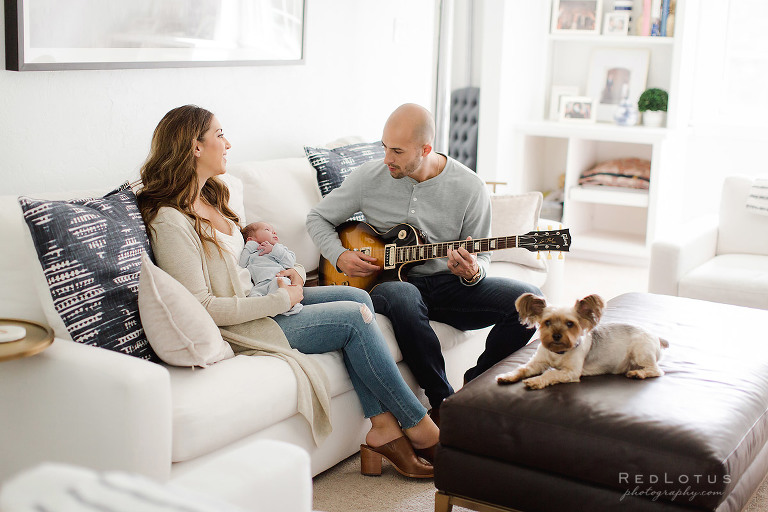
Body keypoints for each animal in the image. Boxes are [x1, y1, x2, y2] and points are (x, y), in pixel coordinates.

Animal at [498, 292, 664, 388]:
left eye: (570, 324)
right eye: (547, 322)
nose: (556, 336)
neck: (558, 352)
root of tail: (656, 337)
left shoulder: (570, 372)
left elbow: (550, 374)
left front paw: (535, 381)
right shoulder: (537, 362)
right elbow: (522, 368)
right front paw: (507, 376)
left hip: (641, 351)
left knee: (656, 370)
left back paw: (638, 374)